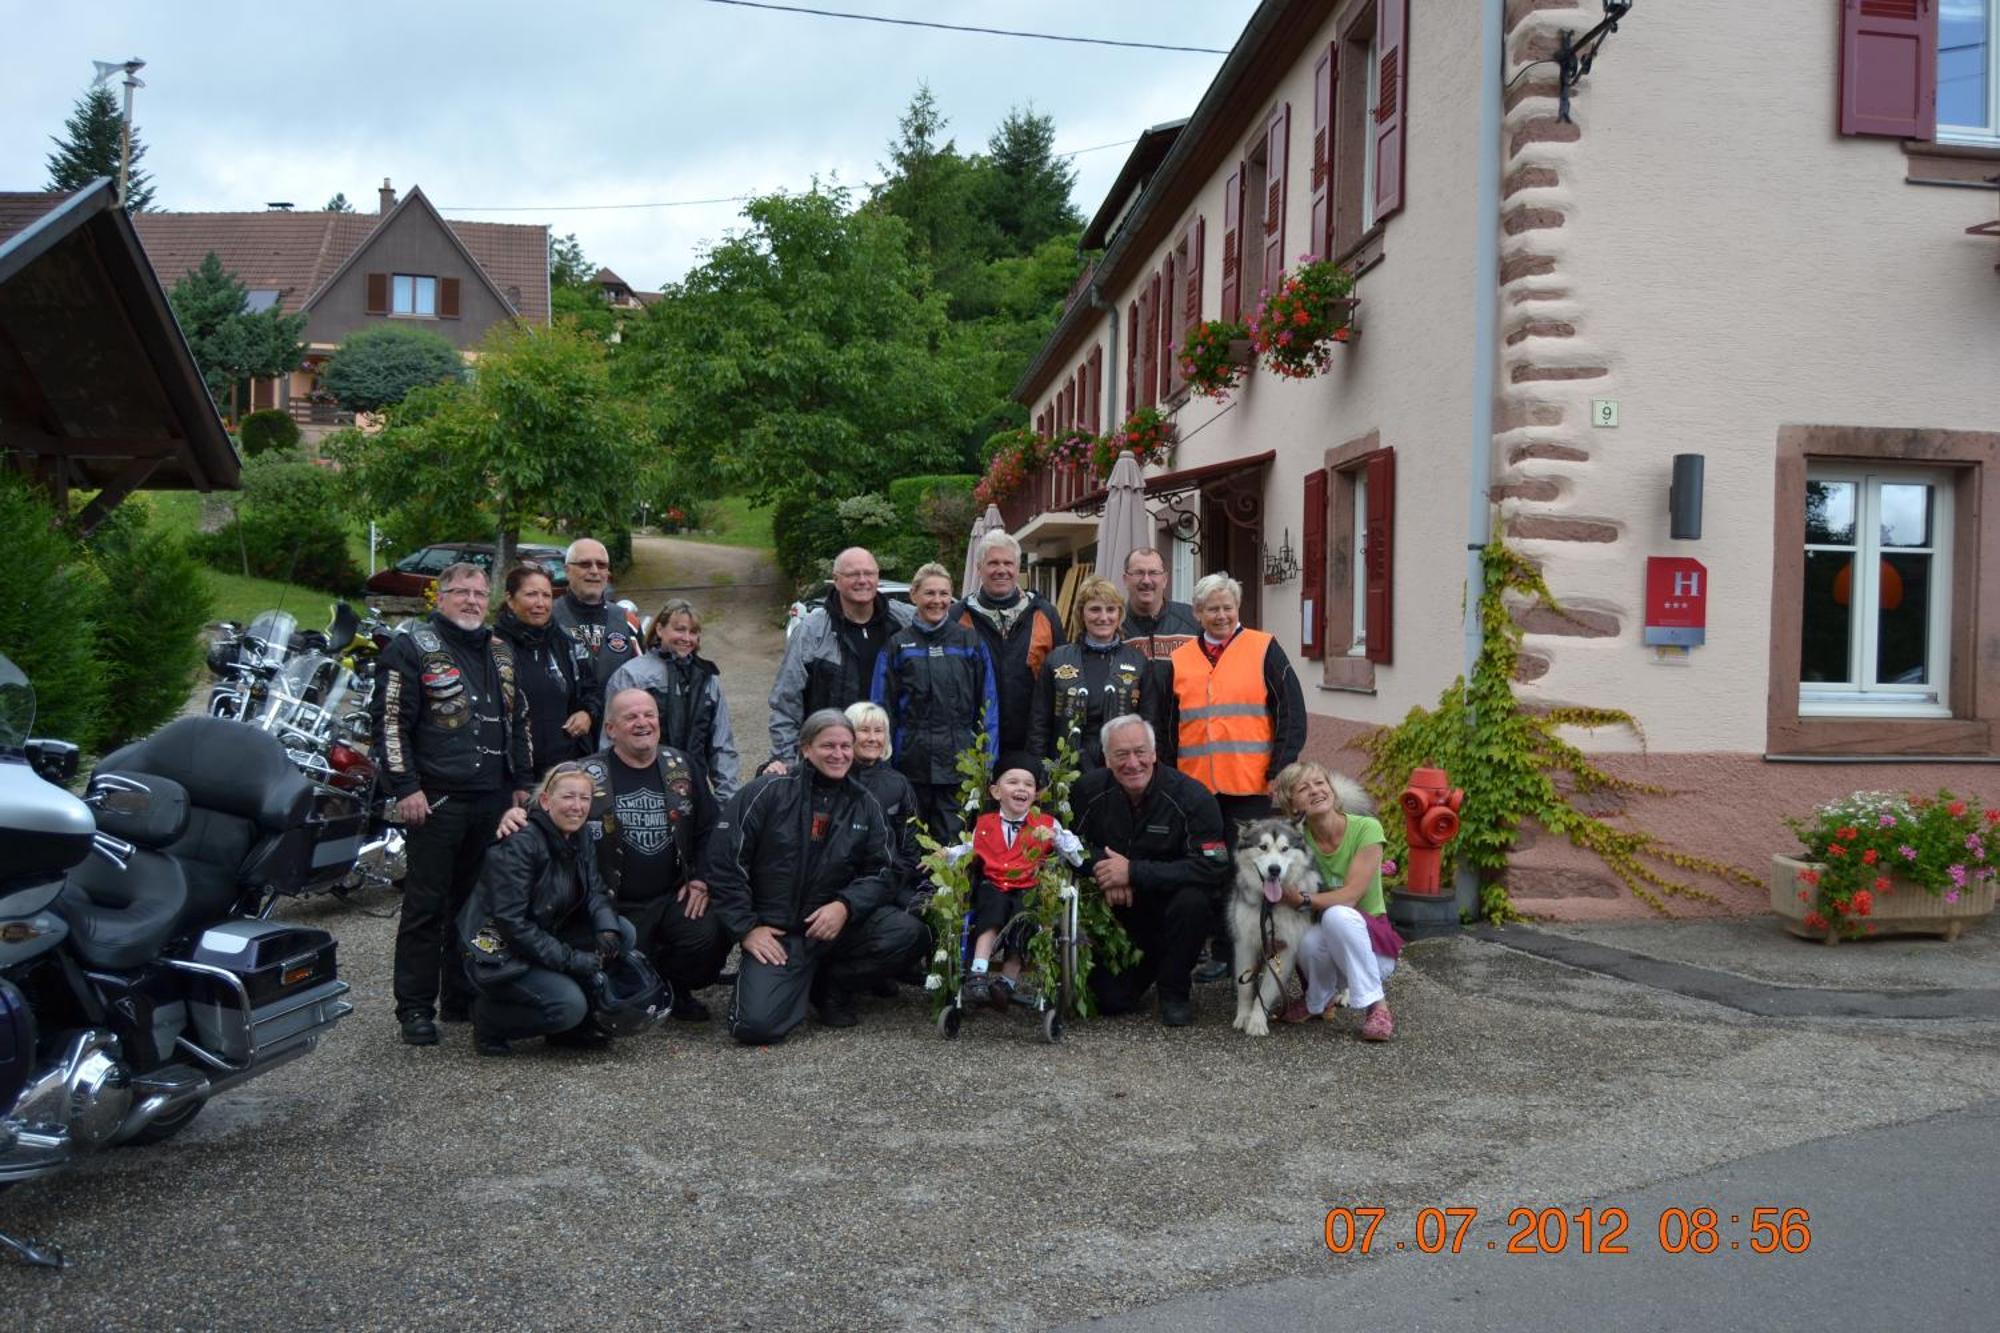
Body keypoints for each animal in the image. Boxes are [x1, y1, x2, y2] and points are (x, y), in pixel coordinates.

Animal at [1224, 816, 1320, 1032]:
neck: (1268, 906)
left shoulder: (1283, 948)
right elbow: (1244, 987)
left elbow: (1267, 989)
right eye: (1263, 847)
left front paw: (1257, 1021)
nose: (1274, 869)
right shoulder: (1245, 943)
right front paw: (1243, 1016)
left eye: (1285, 848)